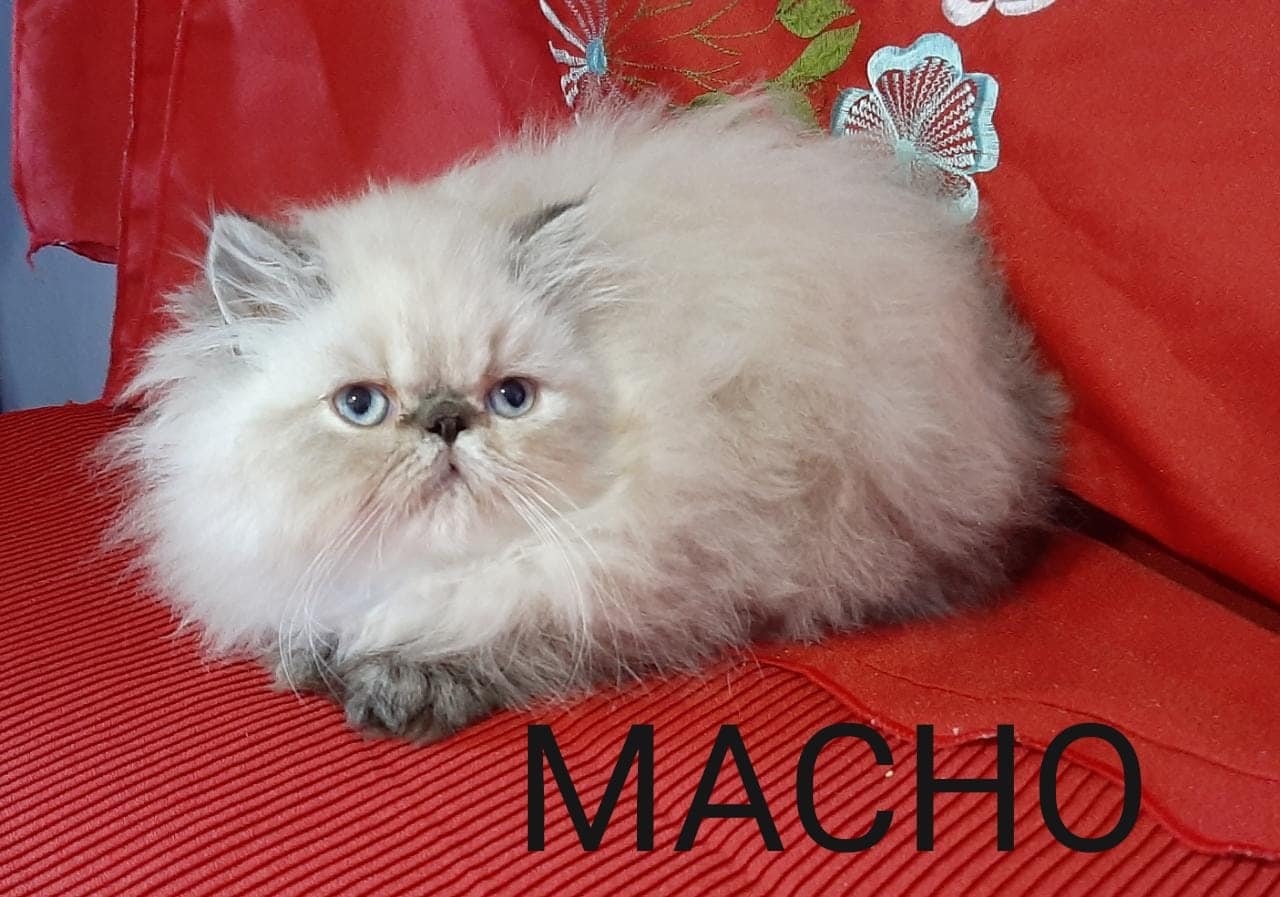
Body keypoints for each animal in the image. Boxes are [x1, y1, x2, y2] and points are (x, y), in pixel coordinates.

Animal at [104, 94, 1066, 741]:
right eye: (361, 406)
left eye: (511, 398)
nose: (446, 421)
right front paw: (311, 652)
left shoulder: (638, 584)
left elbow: (506, 637)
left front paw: (399, 683)